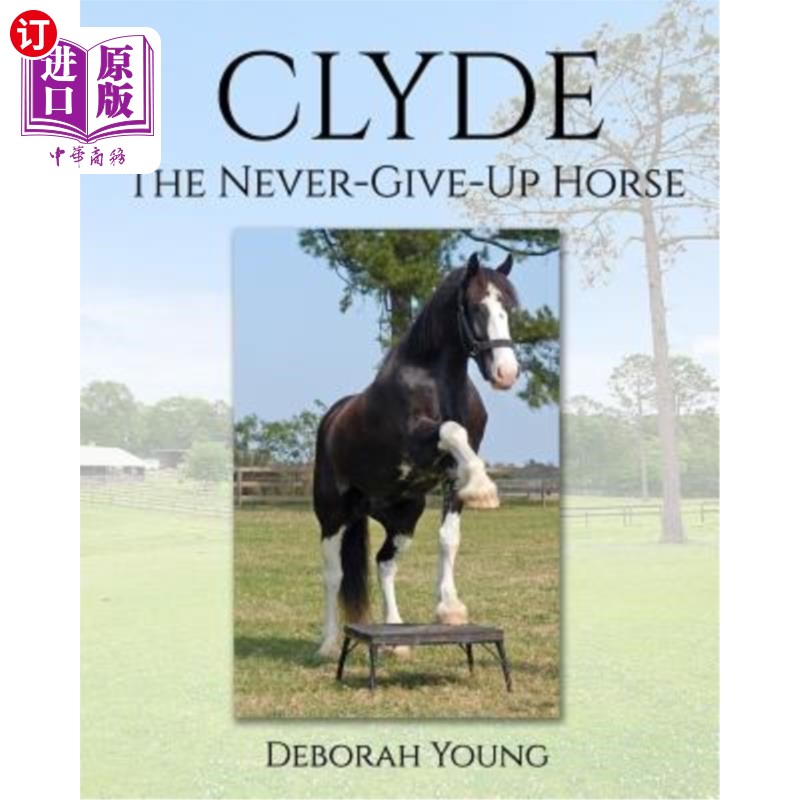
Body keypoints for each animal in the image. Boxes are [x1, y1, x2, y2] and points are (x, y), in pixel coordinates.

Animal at [313, 251, 521, 658]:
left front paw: (450, 608)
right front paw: (485, 489)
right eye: (477, 306)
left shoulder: (449, 477)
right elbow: (452, 431)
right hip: (333, 515)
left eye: (509, 307)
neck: (438, 382)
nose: (507, 372)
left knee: (384, 563)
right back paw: (327, 645)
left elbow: (448, 538)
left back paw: (395, 637)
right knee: (333, 574)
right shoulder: (417, 438)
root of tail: (332, 418)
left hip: (403, 516)